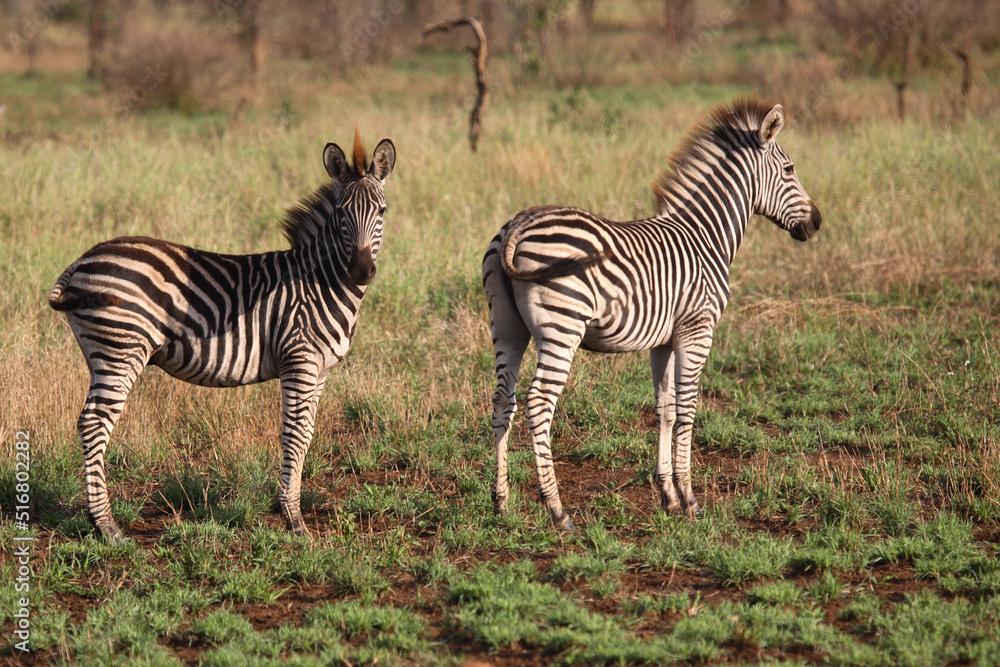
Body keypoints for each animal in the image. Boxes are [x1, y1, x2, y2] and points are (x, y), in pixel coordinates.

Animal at [48, 131, 395, 542]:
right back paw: (106, 525)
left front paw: (291, 510)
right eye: (341, 213)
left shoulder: (320, 371)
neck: (319, 281)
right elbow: (294, 435)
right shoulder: (299, 361)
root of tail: (79, 262)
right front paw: (293, 520)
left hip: (101, 352)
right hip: (122, 349)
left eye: (382, 212)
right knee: (93, 424)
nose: (361, 270)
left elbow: (308, 433)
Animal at [482, 98, 821, 531]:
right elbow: (688, 409)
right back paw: (557, 510)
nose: (816, 223)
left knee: (502, 401)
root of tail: (517, 226)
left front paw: (668, 496)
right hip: (562, 327)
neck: (705, 235)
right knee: (539, 403)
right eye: (790, 169)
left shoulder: (664, 340)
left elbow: (665, 410)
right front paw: (690, 499)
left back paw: (501, 502)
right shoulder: (698, 330)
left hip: (507, 326)